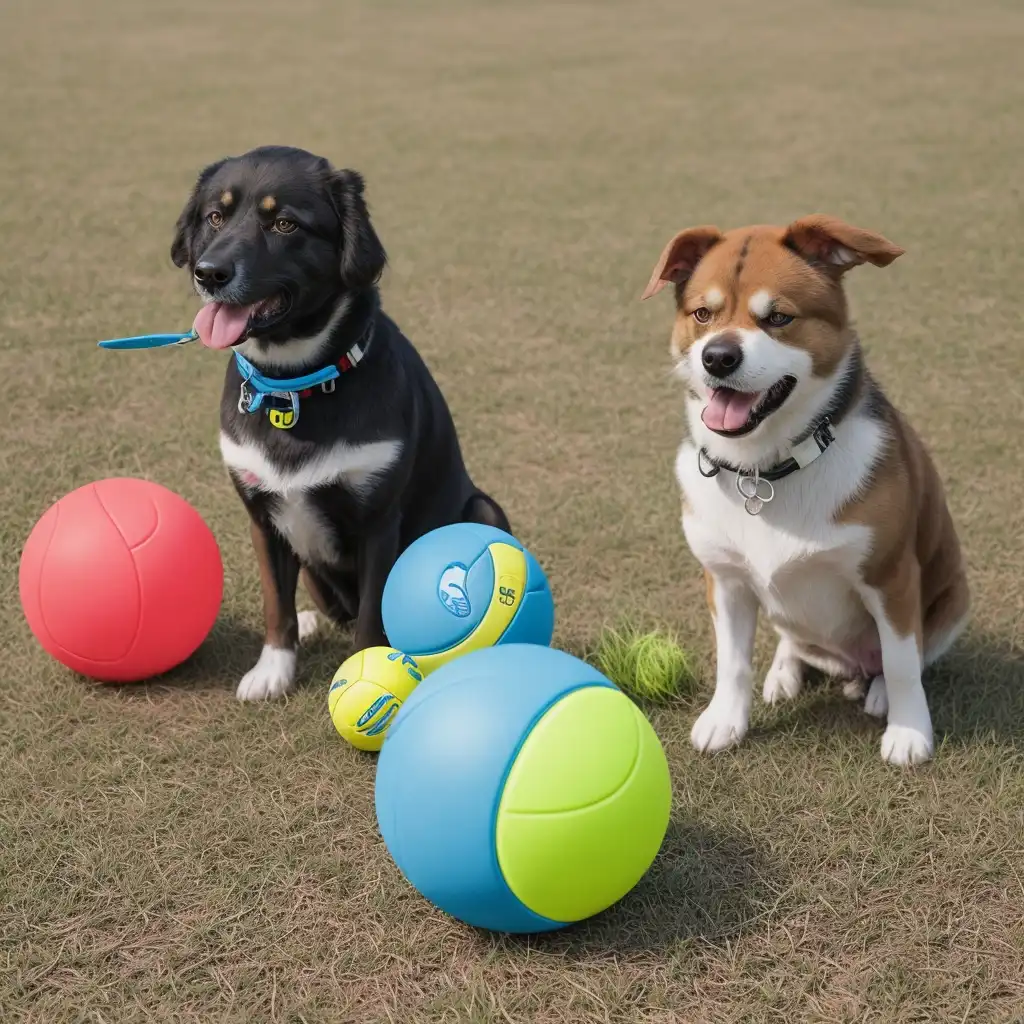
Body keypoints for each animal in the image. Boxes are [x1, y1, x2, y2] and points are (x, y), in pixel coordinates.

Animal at [175, 146, 512, 704]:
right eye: (215, 216)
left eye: (284, 223)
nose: (209, 273)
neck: (295, 386)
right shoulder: (262, 520)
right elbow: (275, 602)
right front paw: (274, 668)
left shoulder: (379, 522)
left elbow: (373, 617)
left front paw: (362, 675)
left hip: (484, 510)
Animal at [643, 214, 970, 761]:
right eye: (703, 313)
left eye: (779, 317)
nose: (718, 358)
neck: (766, 470)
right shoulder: (724, 580)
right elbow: (732, 661)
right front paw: (725, 720)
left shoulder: (891, 576)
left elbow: (903, 661)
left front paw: (909, 733)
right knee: (793, 639)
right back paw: (784, 671)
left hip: (954, 599)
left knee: (903, 656)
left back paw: (878, 691)